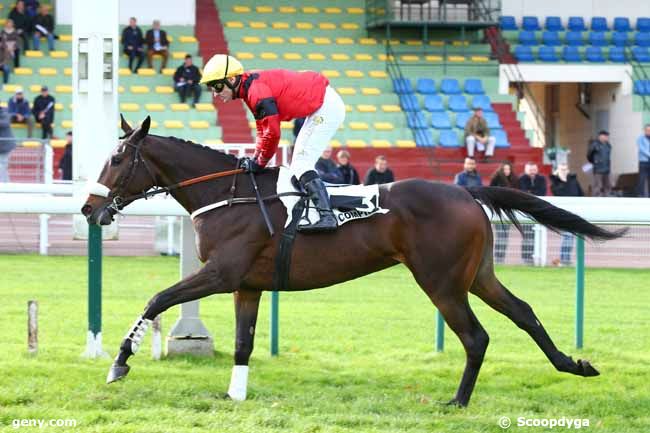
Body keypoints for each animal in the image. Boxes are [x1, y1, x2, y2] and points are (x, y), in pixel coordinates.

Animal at [82, 116, 624, 406]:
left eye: (116, 159)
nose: (89, 209)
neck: (228, 195)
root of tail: (467, 192)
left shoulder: (220, 273)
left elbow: (157, 299)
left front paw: (119, 362)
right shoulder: (246, 284)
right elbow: (242, 343)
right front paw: (235, 395)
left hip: (442, 283)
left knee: (476, 336)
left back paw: (458, 400)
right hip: (477, 276)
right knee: (525, 313)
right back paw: (573, 365)